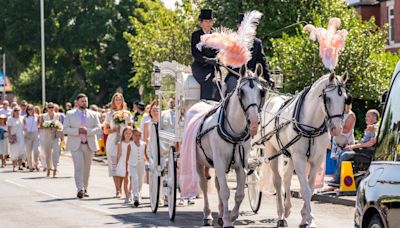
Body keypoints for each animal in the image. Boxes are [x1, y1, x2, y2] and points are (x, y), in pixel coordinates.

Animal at [187, 63, 268, 226]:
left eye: (261, 91)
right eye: (241, 91)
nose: (254, 121)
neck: (234, 132)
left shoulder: (241, 164)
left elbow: (239, 194)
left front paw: (231, 217)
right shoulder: (219, 161)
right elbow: (225, 192)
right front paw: (227, 220)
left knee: (217, 184)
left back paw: (219, 213)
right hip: (199, 162)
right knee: (203, 185)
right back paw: (207, 215)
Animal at [255, 72, 348, 227]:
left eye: (346, 99)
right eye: (328, 98)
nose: (336, 129)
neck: (311, 125)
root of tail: (272, 99)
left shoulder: (317, 160)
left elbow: (311, 189)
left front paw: (306, 218)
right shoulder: (299, 158)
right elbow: (305, 190)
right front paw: (309, 219)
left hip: (289, 154)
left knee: (286, 177)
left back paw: (287, 209)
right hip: (272, 150)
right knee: (278, 180)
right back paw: (281, 215)